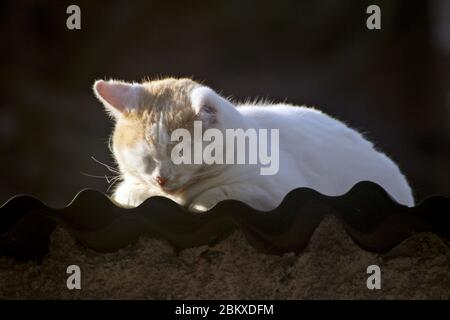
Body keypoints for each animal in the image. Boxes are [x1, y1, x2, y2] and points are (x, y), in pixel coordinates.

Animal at [92, 77, 414, 212]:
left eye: (181, 152)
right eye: (145, 157)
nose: (161, 177)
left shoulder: (271, 190)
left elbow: (217, 195)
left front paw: (197, 202)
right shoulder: (130, 186)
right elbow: (129, 193)